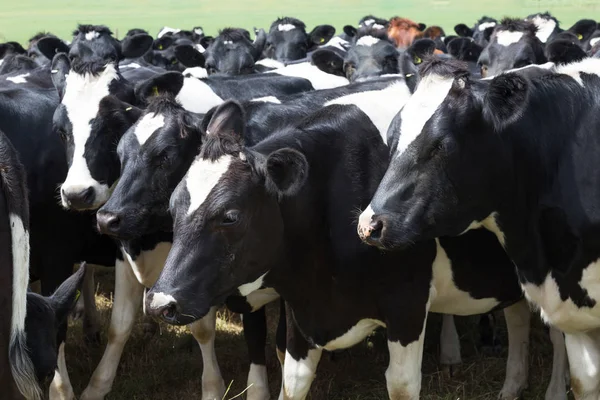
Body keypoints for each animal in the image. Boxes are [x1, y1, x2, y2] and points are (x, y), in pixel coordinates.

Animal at [143, 100, 564, 400]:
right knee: (518, 316)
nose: (161, 303)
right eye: (172, 207)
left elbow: (402, 385)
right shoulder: (300, 310)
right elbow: (293, 382)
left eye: (230, 216)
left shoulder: (407, 307)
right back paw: (511, 386)